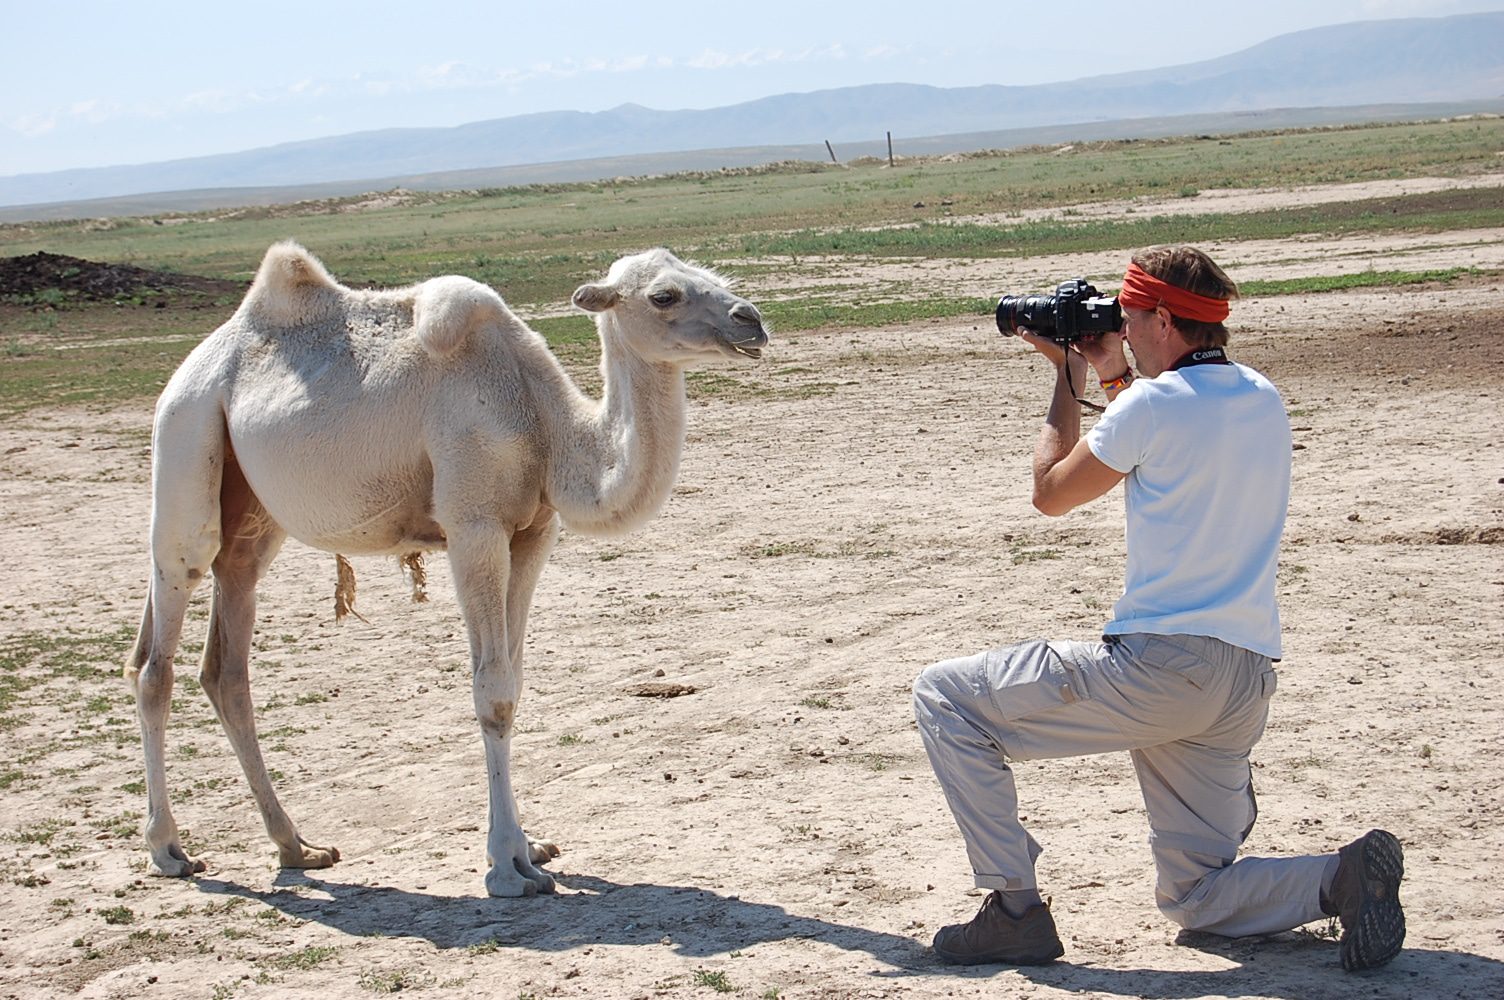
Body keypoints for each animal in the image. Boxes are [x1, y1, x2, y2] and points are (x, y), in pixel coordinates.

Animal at [123, 243, 770, 896]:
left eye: (709, 275)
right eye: (664, 295)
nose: (752, 320)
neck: (544, 424)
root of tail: (193, 366)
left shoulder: (533, 531)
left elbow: (514, 677)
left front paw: (534, 847)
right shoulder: (473, 526)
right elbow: (493, 693)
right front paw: (508, 866)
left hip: (252, 517)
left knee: (226, 660)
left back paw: (297, 847)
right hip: (186, 444)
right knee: (157, 657)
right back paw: (169, 850)